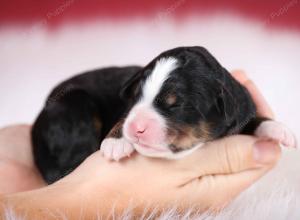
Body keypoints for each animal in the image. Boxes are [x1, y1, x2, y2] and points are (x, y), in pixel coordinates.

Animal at [31, 46, 296, 184]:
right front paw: (116, 142)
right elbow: (122, 117)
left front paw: (278, 129)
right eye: (136, 98)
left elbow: (252, 119)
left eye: (176, 106)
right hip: (74, 103)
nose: (136, 128)